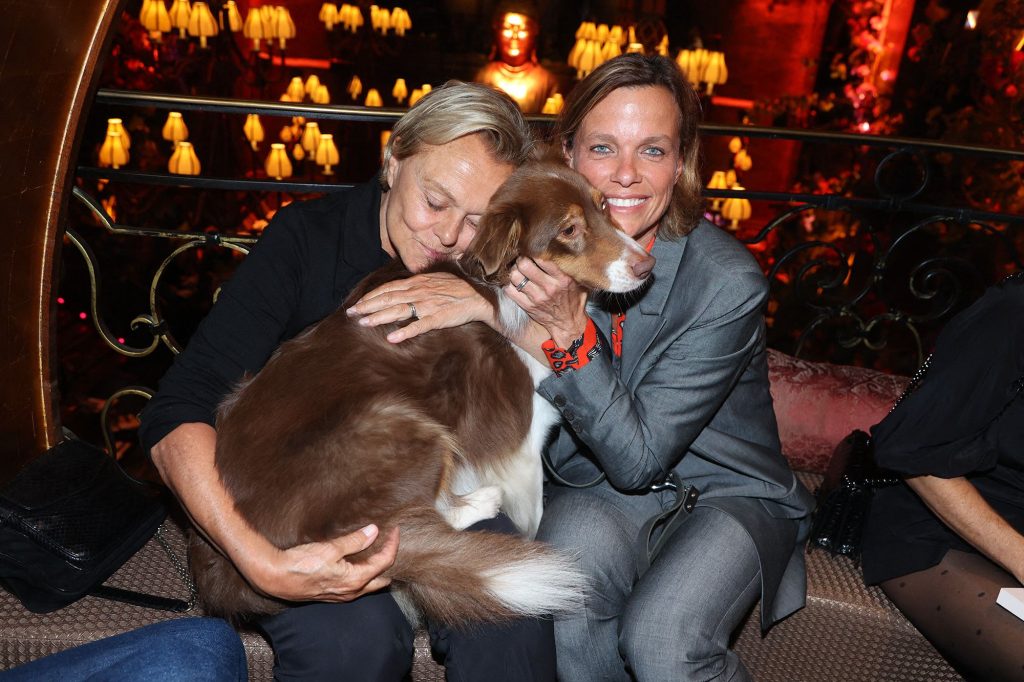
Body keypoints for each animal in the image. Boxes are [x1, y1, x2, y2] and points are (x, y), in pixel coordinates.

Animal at [192, 160, 655, 626]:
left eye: (603, 206)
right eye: (569, 230)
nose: (647, 266)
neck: (499, 278)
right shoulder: (522, 440)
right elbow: (533, 510)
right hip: (407, 425)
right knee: (412, 522)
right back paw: (480, 502)